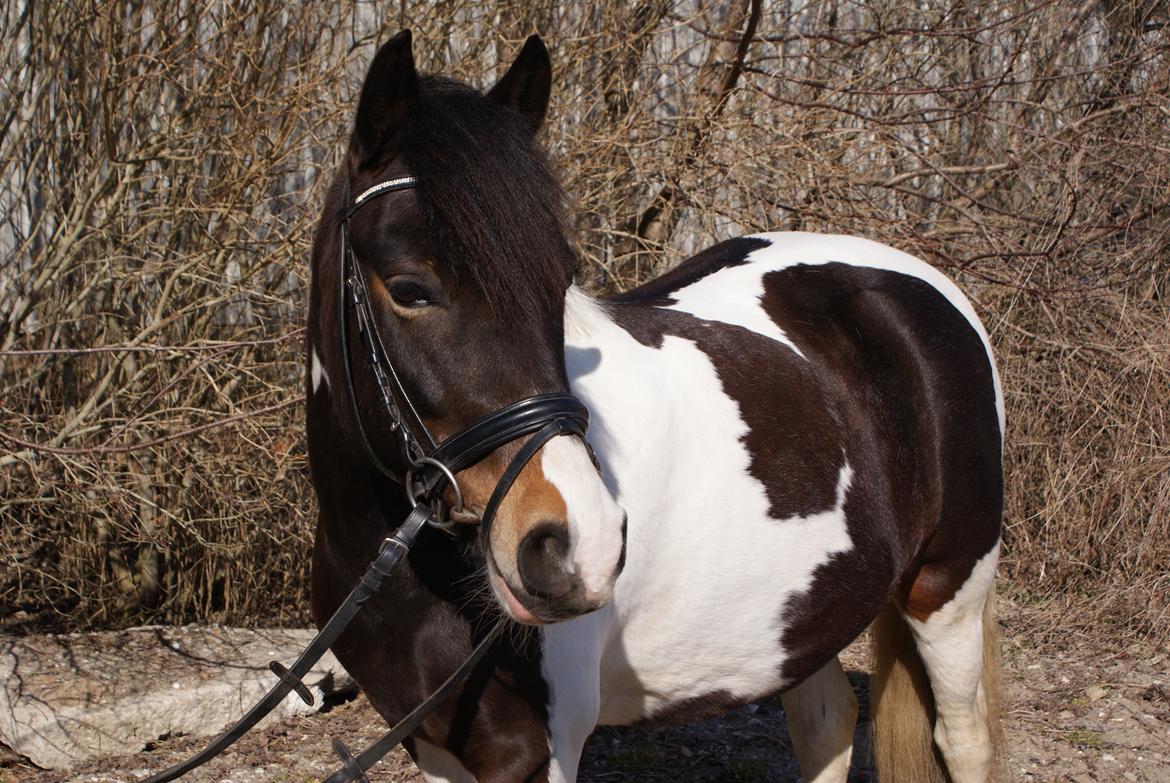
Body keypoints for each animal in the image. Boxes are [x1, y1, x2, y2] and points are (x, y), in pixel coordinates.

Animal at [304, 30, 1006, 781]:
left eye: (559, 281)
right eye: (409, 288)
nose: (578, 547)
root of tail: (923, 284)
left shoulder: (535, 754)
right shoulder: (434, 746)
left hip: (947, 592)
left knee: (962, 737)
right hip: (812, 611)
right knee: (828, 723)